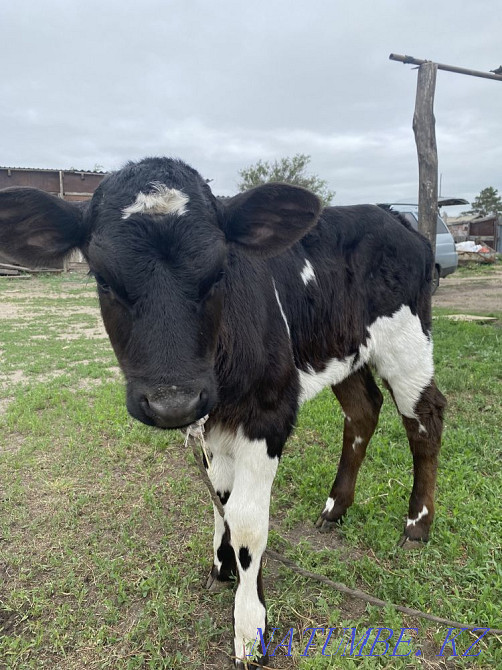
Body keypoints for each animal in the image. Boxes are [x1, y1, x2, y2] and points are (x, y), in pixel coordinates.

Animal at [0, 157, 446, 667]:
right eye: (103, 278)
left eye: (218, 272)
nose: (172, 401)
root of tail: (393, 217)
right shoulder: (212, 420)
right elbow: (220, 497)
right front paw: (222, 562)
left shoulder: (267, 415)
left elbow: (249, 523)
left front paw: (250, 627)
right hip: (342, 348)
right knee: (362, 412)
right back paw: (335, 508)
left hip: (407, 344)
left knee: (425, 419)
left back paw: (417, 523)